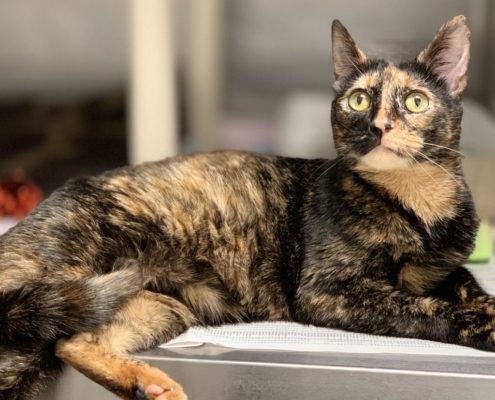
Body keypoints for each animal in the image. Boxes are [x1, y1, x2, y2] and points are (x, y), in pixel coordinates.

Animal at [0, 15, 488, 400]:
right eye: (359, 99)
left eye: (416, 101)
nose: (378, 125)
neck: (421, 212)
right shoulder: (327, 292)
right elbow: (423, 307)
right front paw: (486, 325)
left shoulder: (444, 270)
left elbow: (466, 288)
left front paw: (486, 306)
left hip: (157, 306)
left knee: (73, 343)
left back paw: (152, 386)